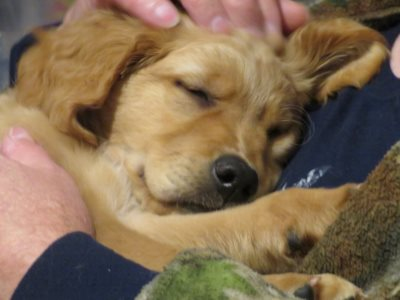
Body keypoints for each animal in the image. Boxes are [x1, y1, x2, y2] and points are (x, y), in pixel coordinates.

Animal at [0, 9, 388, 298]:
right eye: (195, 91)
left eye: (277, 131)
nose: (240, 179)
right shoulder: (109, 224)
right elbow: (176, 254)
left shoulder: (128, 217)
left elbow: (206, 234)